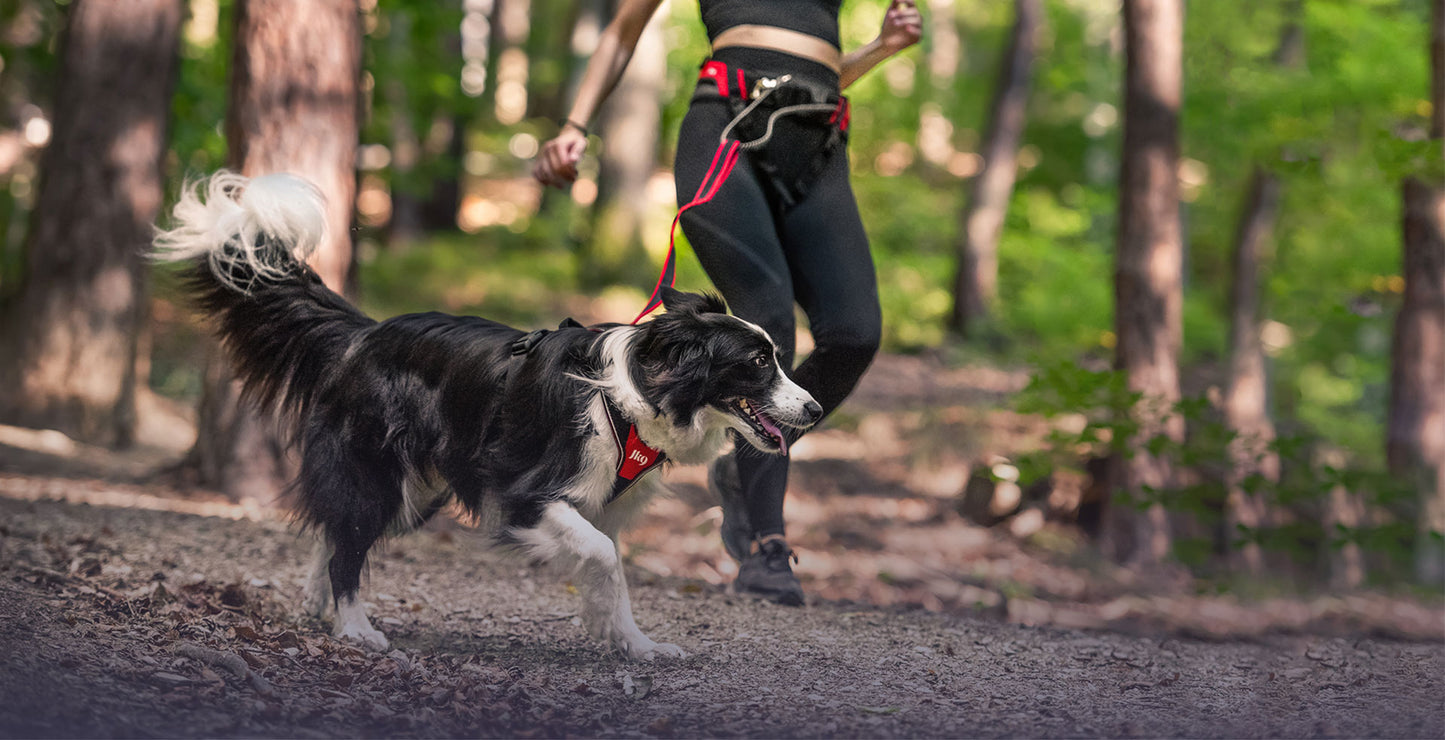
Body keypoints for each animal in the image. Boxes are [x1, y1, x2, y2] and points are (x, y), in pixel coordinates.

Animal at [155, 173, 826, 659]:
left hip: (418, 487)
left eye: (775, 357)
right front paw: (620, 635)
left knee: (336, 531)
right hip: (382, 470)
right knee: (348, 543)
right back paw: (355, 628)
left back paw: (320, 607)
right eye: (758, 363)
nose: (816, 409)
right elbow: (604, 559)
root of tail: (366, 334)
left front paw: (634, 644)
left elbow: (611, 573)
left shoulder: (604, 506)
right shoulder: (527, 494)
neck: (636, 391)